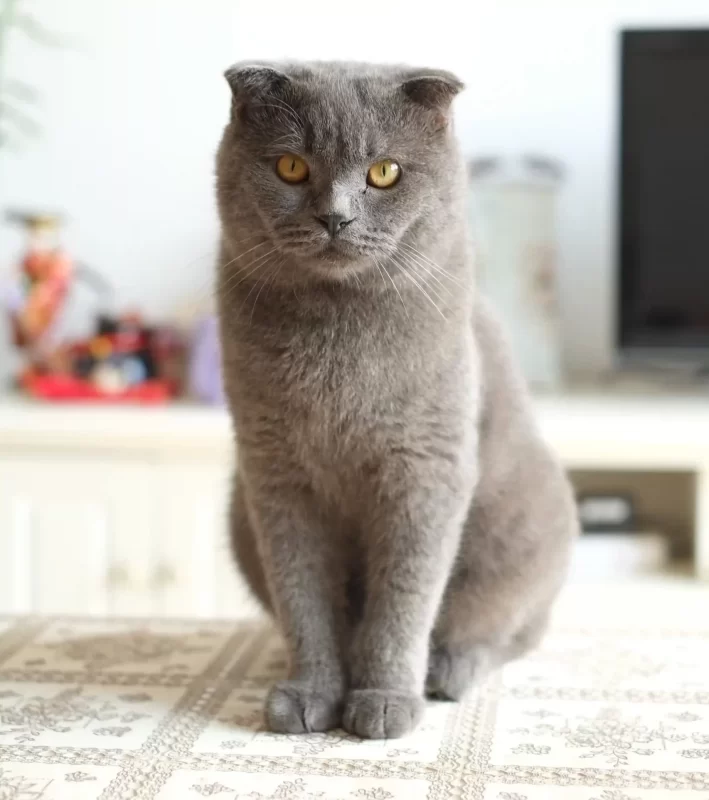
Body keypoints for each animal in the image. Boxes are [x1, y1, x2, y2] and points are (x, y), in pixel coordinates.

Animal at [216, 59, 576, 740]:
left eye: (384, 172)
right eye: (291, 166)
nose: (336, 217)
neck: (335, 340)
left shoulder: (425, 469)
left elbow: (404, 597)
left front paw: (383, 702)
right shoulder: (276, 477)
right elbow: (303, 596)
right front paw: (309, 694)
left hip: (527, 524)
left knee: (504, 631)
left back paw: (447, 672)